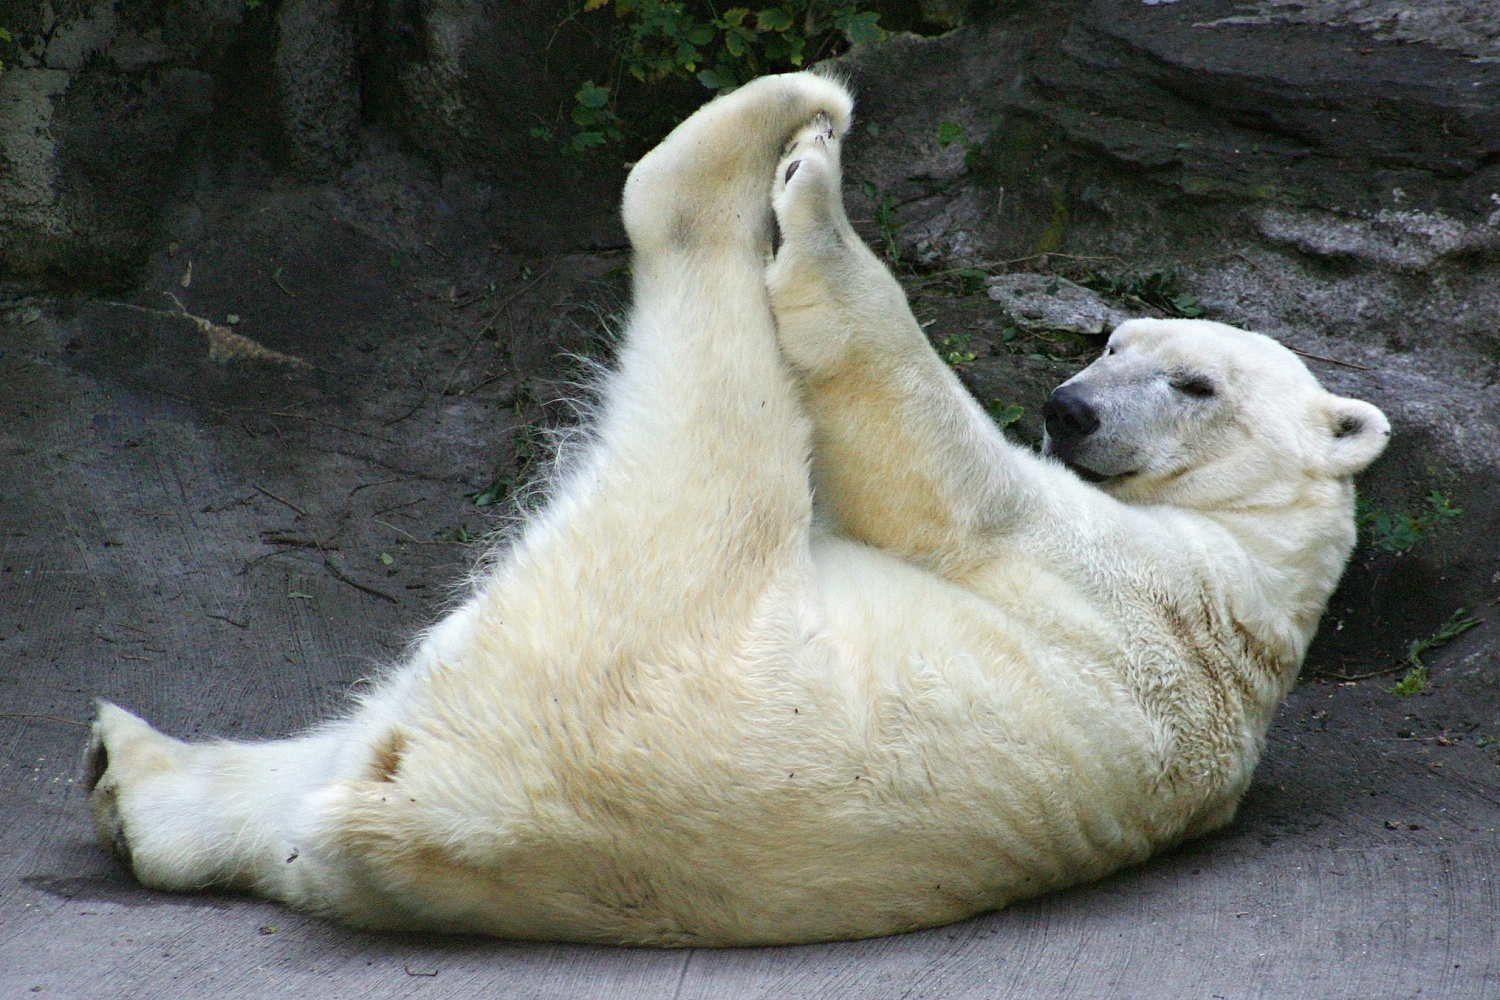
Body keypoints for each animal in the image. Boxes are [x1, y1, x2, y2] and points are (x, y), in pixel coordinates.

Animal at [82, 69, 1390, 946]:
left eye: (1195, 382)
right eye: (1113, 337)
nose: (1069, 409)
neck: (1267, 566)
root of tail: (431, 804)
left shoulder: (1135, 574)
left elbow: (946, 480)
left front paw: (812, 201)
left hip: (659, 623)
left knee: (710, 397)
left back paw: (776, 130)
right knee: (287, 795)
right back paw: (128, 772)